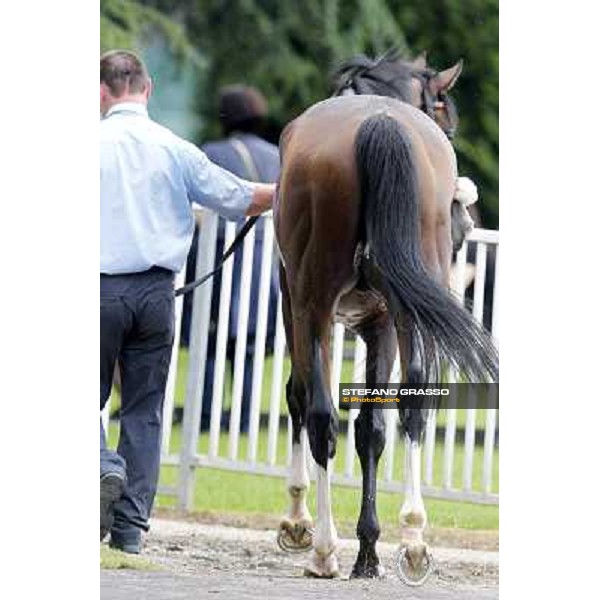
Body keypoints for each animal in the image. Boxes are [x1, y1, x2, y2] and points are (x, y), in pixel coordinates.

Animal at [272, 52, 496, 580]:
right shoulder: (381, 322)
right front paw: (369, 548)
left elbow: (304, 399)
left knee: (320, 416)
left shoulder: (303, 305)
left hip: (313, 305)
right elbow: (371, 427)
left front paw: (300, 521)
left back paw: (325, 549)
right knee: (407, 408)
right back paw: (411, 541)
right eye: (447, 118)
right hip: (400, 312)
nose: (464, 221)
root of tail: (378, 122)